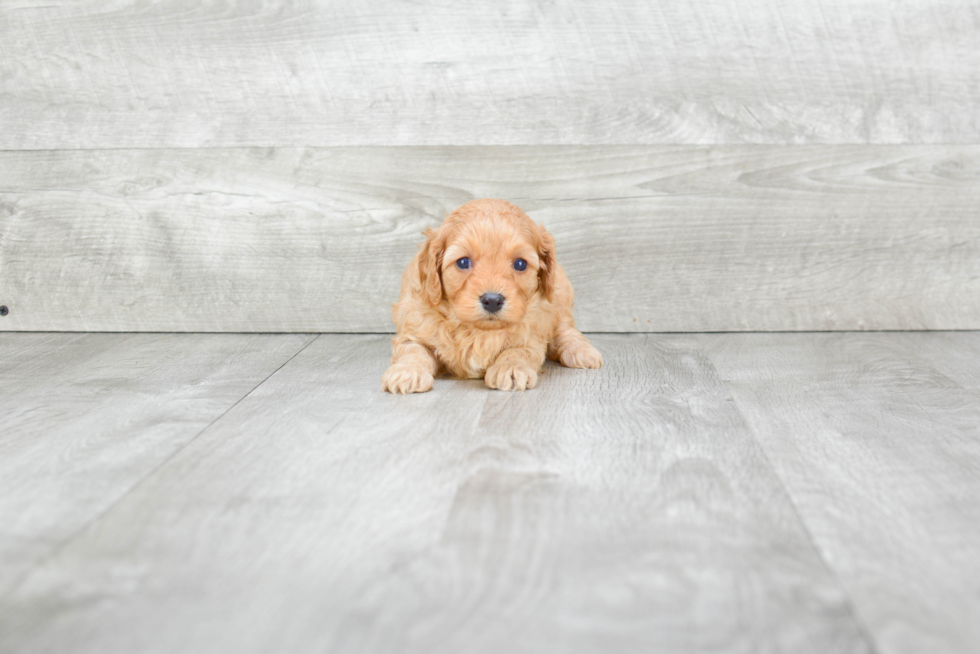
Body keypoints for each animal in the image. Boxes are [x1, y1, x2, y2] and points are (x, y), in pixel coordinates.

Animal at [384, 199, 604, 394]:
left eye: (520, 264)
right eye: (463, 262)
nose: (492, 301)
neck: (478, 330)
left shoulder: (532, 335)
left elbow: (518, 351)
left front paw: (511, 368)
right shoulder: (414, 328)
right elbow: (413, 351)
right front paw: (407, 372)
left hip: (560, 294)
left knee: (565, 330)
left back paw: (581, 351)